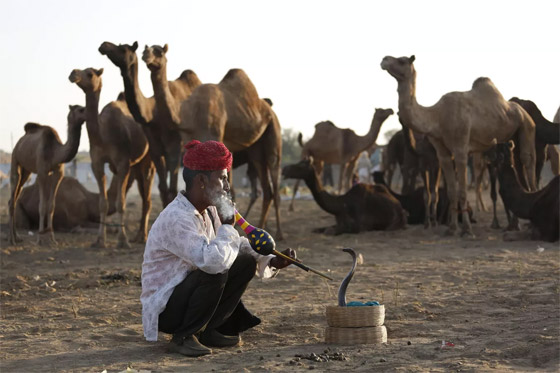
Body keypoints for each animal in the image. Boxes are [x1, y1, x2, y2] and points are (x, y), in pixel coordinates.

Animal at [9, 104, 86, 246]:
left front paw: (52, 238)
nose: (89, 112)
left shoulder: (58, 174)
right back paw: (12, 239)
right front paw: (40, 238)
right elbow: (42, 205)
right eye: (80, 109)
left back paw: (17, 237)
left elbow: (51, 205)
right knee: (12, 198)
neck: (54, 151)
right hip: (15, 159)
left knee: (15, 198)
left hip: (26, 171)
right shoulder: (42, 172)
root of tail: (20, 141)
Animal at [99, 42, 200, 208]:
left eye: (123, 49)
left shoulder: (174, 148)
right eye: (144, 50)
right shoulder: (154, 149)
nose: (104, 45)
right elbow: (163, 188)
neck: (152, 113)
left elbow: (172, 188)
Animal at [380, 54, 540, 235]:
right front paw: (452, 228)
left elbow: (462, 192)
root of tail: (523, 111)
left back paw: (530, 223)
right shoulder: (442, 154)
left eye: (402, 61)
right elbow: (451, 191)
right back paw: (514, 224)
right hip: (511, 136)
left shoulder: (461, 149)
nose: (384, 59)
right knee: (518, 165)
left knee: (528, 162)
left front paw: (467, 230)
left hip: (527, 126)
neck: (437, 117)